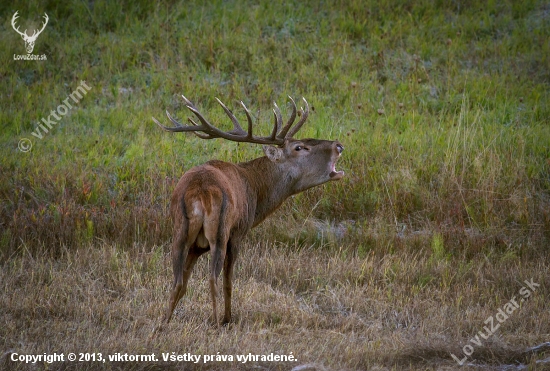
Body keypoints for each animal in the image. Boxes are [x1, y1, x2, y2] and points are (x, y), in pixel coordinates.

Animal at [153, 95, 344, 328]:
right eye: (300, 147)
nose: (338, 145)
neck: (255, 190)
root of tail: (198, 192)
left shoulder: (197, 247)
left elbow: (183, 284)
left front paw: (168, 318)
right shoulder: (238, 232)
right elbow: (228, 281)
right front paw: (228, 318)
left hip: (179, 230)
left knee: (177, 279)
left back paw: (164, 322)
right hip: (220, 230)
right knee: (213, 278)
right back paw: (216, 322)